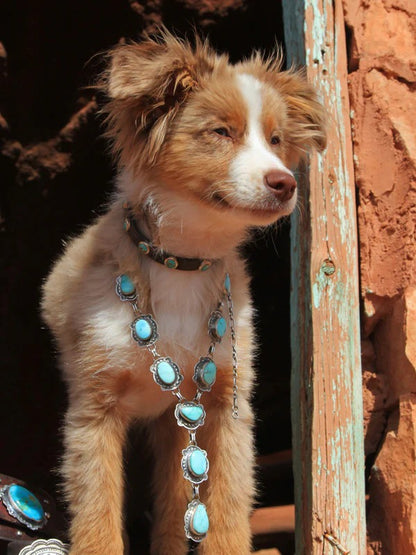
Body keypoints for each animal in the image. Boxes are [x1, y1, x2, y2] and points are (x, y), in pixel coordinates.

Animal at [41, 31, 324, 555]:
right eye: (221, 132)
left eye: (276, 140)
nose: (285, 182)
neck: (183, 262)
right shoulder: (93, 411)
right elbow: (97, 519)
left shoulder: (228, 404)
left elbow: (228, 511)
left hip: (178, 425)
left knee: (174, 510)